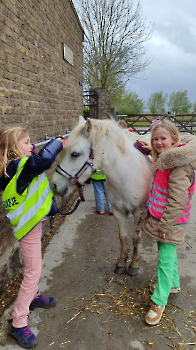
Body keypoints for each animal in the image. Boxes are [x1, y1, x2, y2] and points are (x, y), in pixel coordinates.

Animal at [50, 117, 153, 276]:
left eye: (75, 154)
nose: (54, 185)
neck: (128, 173)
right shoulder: (119, 212)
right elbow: (123, 237)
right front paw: (121, 263)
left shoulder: (140, 212)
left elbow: (136, 238)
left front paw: (134, 266)